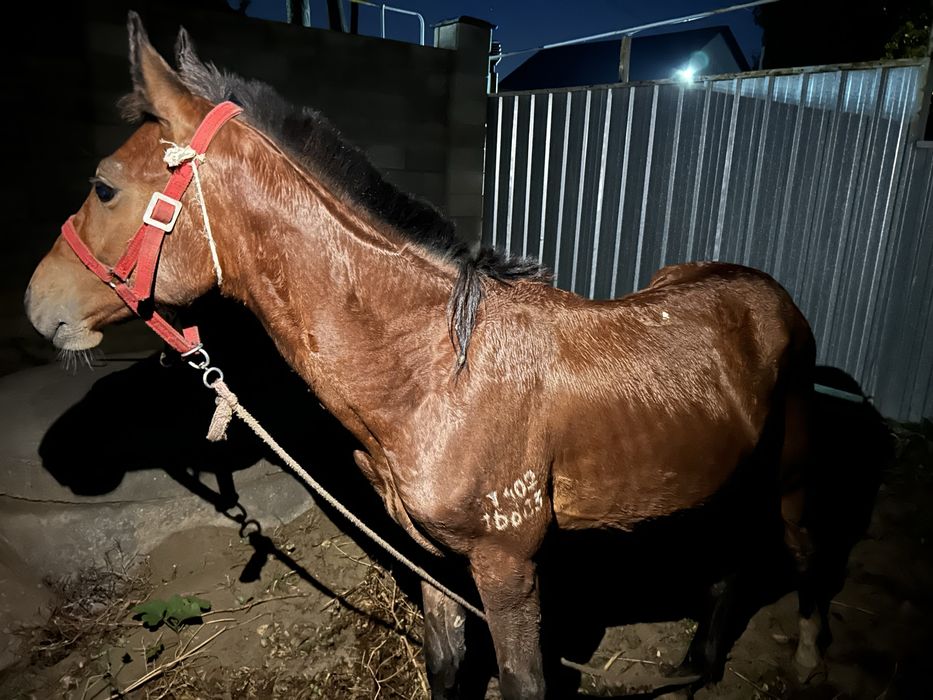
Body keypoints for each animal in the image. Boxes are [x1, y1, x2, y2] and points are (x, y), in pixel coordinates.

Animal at [25, 13, 827, 698]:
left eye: (104, 186)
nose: (38, 305)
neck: (436, 370)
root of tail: (771, 295)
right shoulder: (435, 561)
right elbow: (444, 668)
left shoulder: (507, 569)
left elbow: (523, 683)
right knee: (728, 561)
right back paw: (697, 664)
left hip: (790, 473)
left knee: (801, 553)